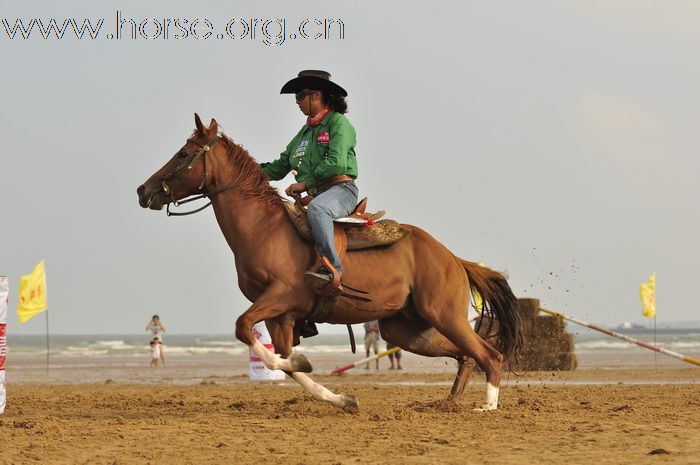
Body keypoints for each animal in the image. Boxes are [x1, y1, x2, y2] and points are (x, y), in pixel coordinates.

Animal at [135, 114, 520, 412]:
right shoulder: (281, 315)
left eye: (183, 153)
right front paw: (341, 398)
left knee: (490, 355)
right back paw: (450, 403)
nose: (143, 190)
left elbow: (244, 328)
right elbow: (287, 362)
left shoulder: (281, 296)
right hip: (406, 329)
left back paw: (487, 405)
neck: (264, 229)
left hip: (443, 315)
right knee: (466, 355)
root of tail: (453, 259)